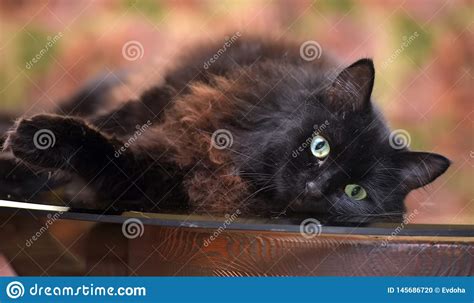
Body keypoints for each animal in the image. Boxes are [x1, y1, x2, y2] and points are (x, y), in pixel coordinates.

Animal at [1, 35, 450, 217]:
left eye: (355, 192)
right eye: (320, 146)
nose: (315, 187)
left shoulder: (160, 183)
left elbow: (107, 157)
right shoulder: (166, 100)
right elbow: (104, 129)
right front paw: (24, 150)